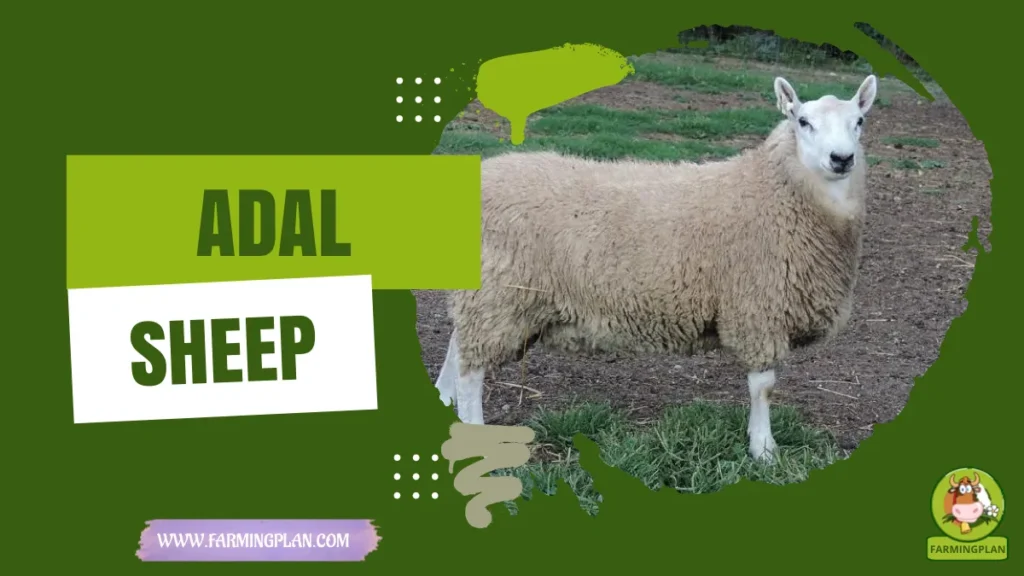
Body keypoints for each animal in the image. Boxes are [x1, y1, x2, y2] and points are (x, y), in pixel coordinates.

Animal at [434, 74, 879, 463]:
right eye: (803, 121)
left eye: (859, 122)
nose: (842, 159)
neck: (772, 190)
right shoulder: (757, 308)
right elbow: (764, 387)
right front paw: (764, 451)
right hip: (498, 294)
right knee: (472, 369)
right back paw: (474, 433)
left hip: (489, 293)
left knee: (458, 349)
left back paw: (443, 402)